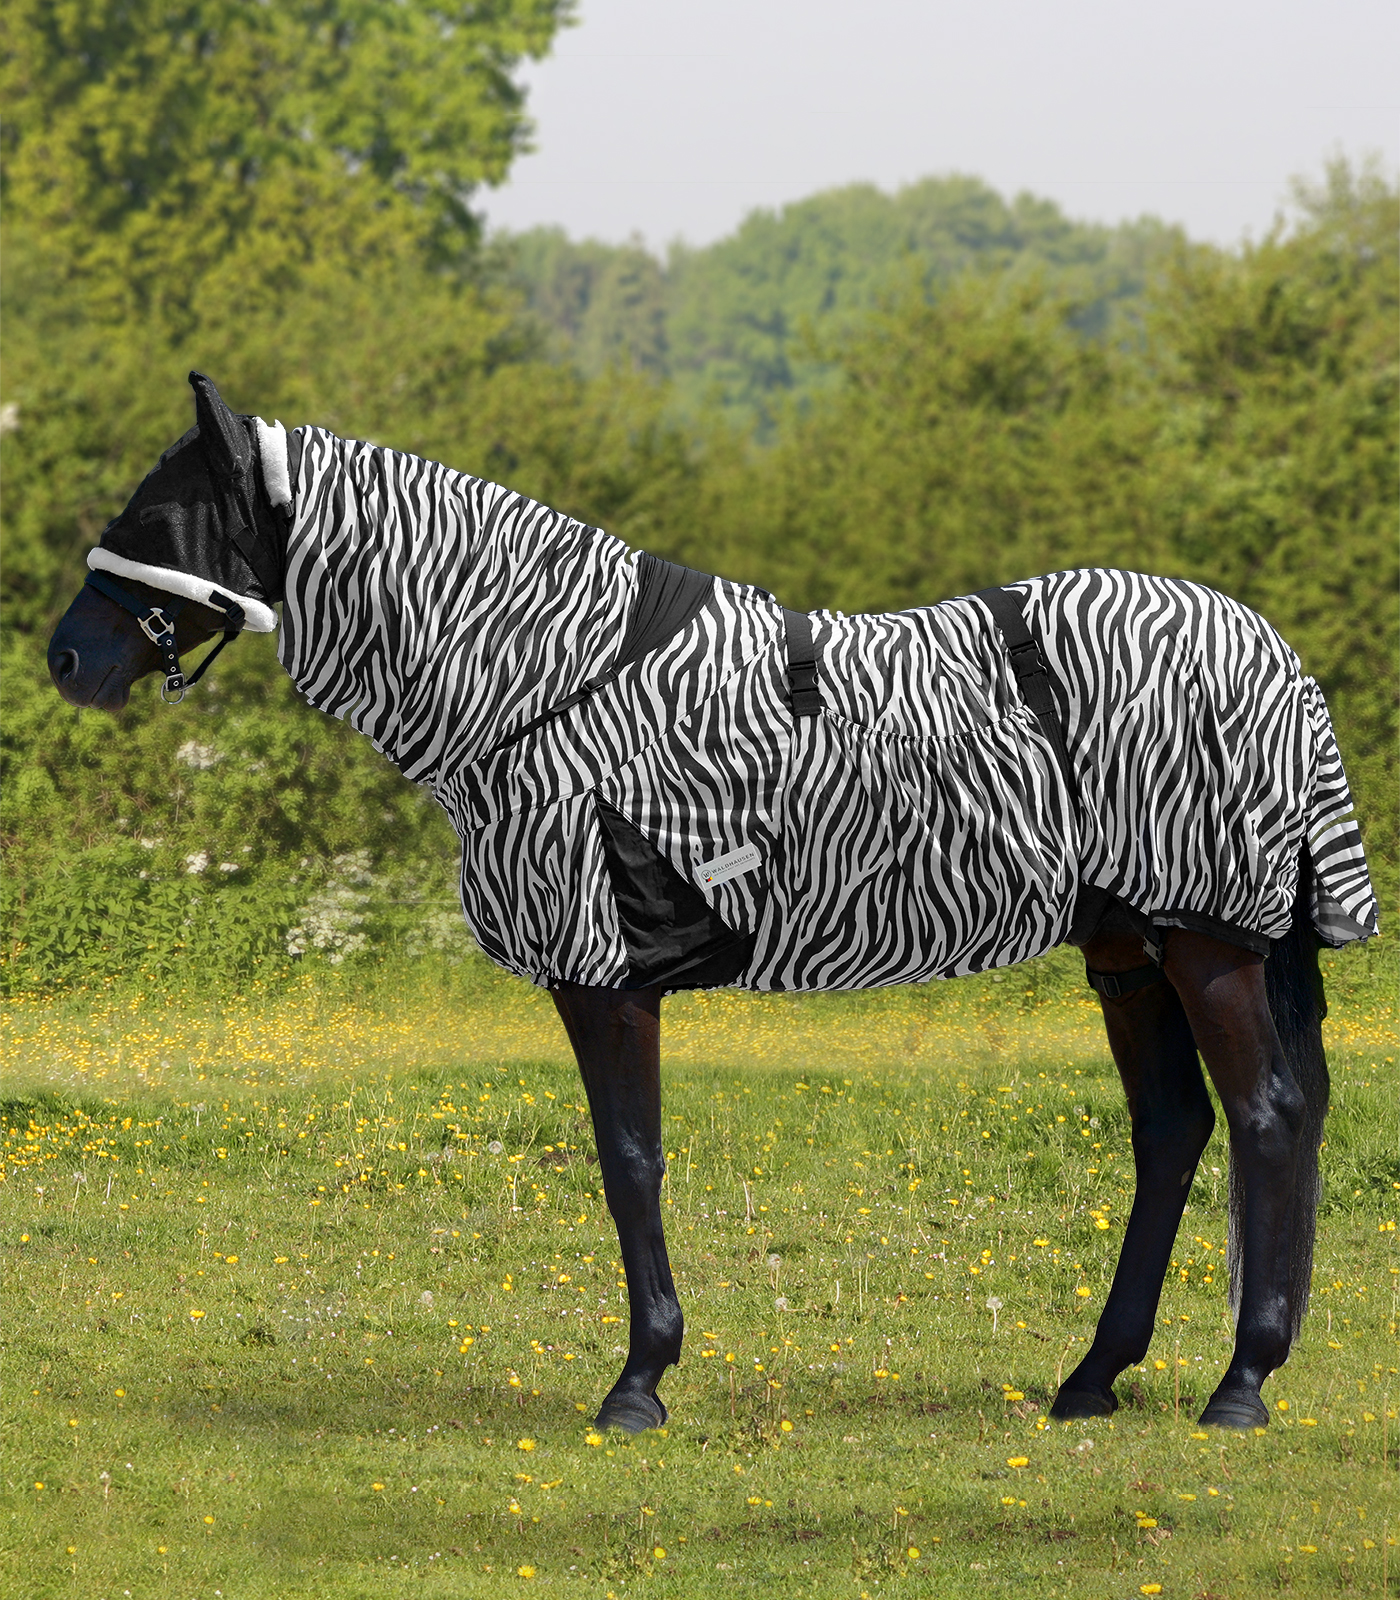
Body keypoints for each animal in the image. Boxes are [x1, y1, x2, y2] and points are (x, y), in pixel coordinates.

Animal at [49, 372, 1378, 1434]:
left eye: (157, 518)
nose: (66, 659)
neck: (544, 683)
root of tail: (1271, 655)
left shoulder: (603, 973)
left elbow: (628, 1159)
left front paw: (638, 1381)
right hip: (1126, 948)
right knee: (1173, 1130)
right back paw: (1093, 1377)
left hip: (1205, 943)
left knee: (1264, 1118)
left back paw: (1239, 1385)